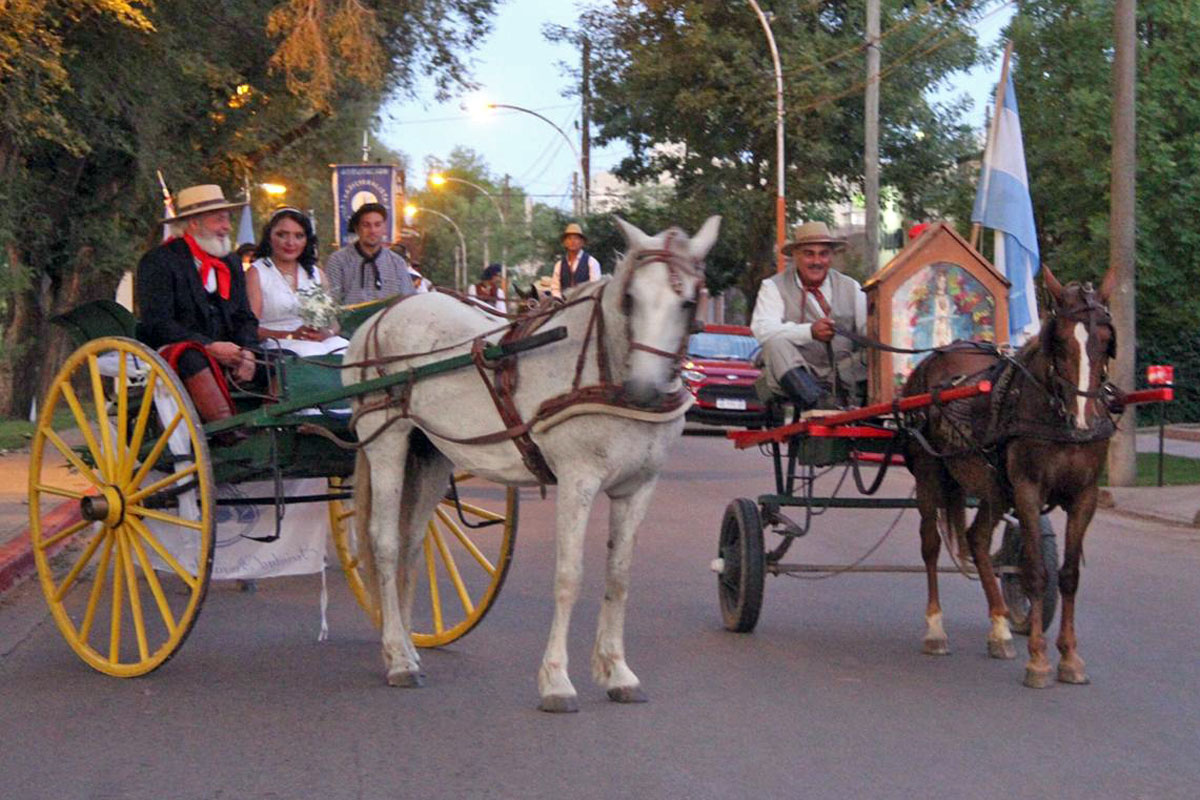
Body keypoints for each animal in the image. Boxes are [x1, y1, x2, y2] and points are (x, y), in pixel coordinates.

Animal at [348, 215, 720, 710]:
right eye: (631, 299)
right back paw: (397, 658)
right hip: (386, 441)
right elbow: (569, 576)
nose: (643, 389)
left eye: (688, 301)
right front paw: (556, 680)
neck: (603, 364)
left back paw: (406, 647)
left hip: (430, 456)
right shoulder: (578, 480)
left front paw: (617, 672)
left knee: (412, 543)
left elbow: (619, 576)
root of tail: (381, 315)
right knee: (386, 544)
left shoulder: (639, 486)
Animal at [902, 263, 1118, 690]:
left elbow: (1068, 575)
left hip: (994, 488)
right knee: (930, 544)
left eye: (1105, 341)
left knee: (977, 539)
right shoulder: (1028, 490)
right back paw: (935, 629)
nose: (1083, 418)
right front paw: (1039, 660)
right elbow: (1034, 572)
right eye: (1059, 342)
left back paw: (1000, 629)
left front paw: (1070, 657)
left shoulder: (1084, 496)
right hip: (931, 473)